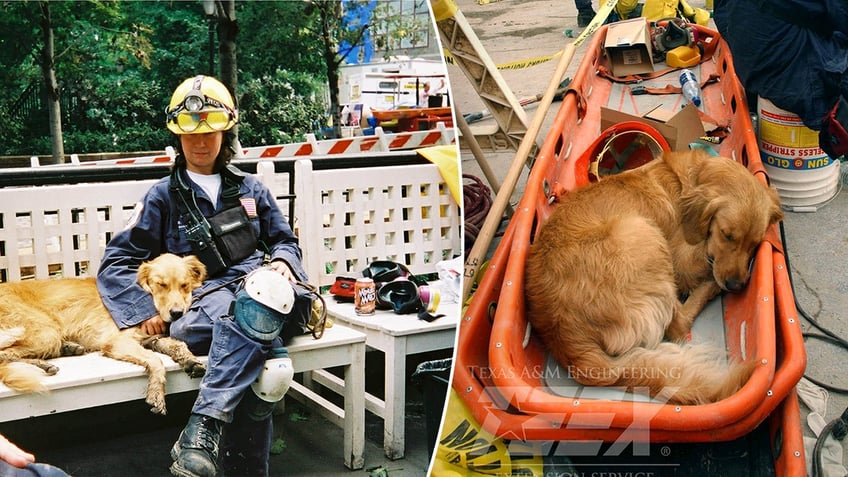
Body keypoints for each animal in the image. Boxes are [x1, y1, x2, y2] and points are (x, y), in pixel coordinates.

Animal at [0, 253, 207, 412]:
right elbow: (156, 361)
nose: (177, 313)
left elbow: (178, 344)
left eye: (185, 285)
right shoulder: (117, 341)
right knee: (5, 355)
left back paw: (63, 351)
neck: (146, 298)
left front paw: (190, 359)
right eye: (161, 284)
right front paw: (156, 391)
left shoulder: (150, 339)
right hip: (45, 333)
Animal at [528, 151, 784, 404]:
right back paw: (709, 287)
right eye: (726, 235)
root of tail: (570, 346)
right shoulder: (683, 260)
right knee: (679, 324)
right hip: (643, 232)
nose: (736, 285)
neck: (691, 179)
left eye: (754, 243)